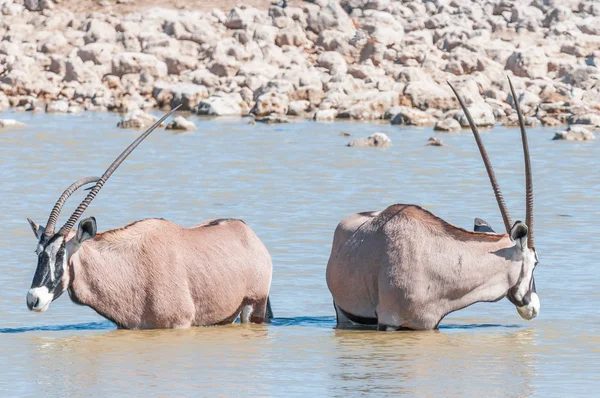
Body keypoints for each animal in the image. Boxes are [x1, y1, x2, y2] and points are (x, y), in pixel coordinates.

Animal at [25, 107, 274, 328]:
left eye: (60, 254)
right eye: (38, 252)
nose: (33, 299)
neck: (129, 265)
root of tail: (247, 233)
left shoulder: (180, 324)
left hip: (254, 305)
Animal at [326, 77, 540, 330]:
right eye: (536, 262)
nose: (534, 307)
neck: (443, 260)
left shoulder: (430, 324)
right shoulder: (388, 321)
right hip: (344, 313)